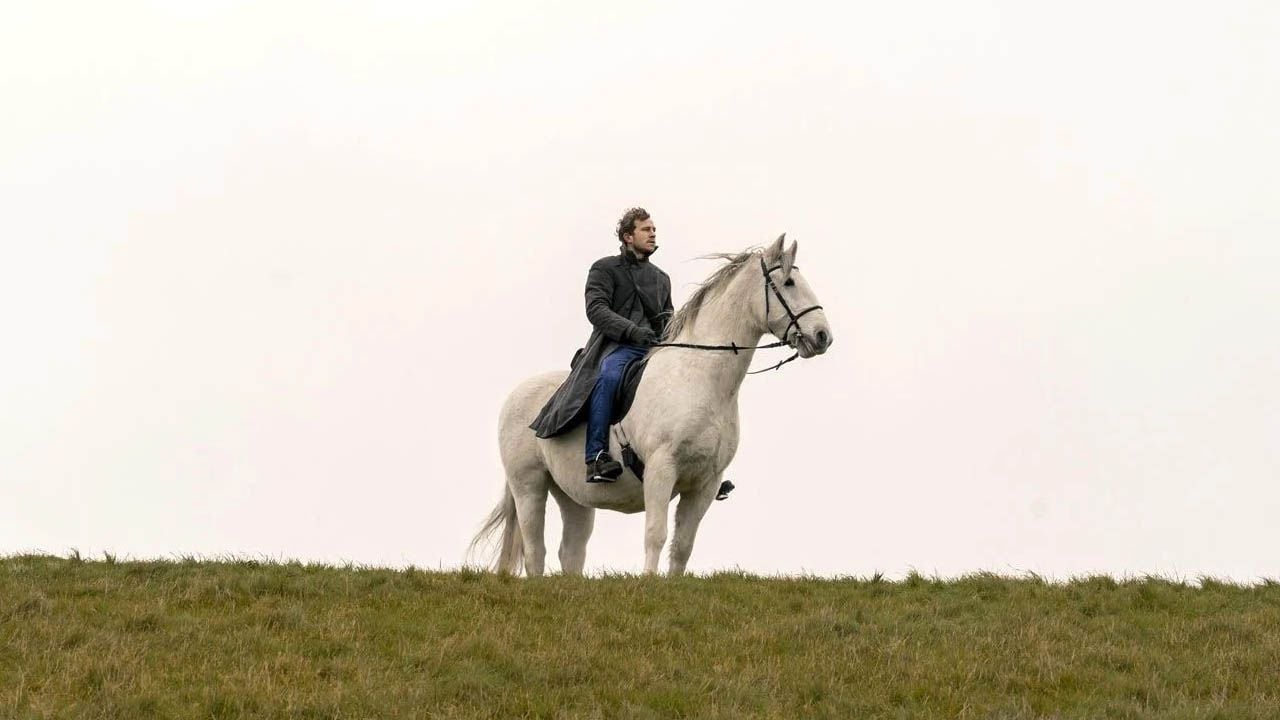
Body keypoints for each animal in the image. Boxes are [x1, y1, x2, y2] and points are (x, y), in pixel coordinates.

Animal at [471, 234, 832, 576]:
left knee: (571, 553)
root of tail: (516, 396)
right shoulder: (662, 469)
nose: (823, 336)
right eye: (789, 282)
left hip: (574, 496)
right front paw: (649, 582)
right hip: (529, 486)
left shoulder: (705, 483)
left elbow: (683, 546)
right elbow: (656, 534)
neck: (699, 378)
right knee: (536, 552)